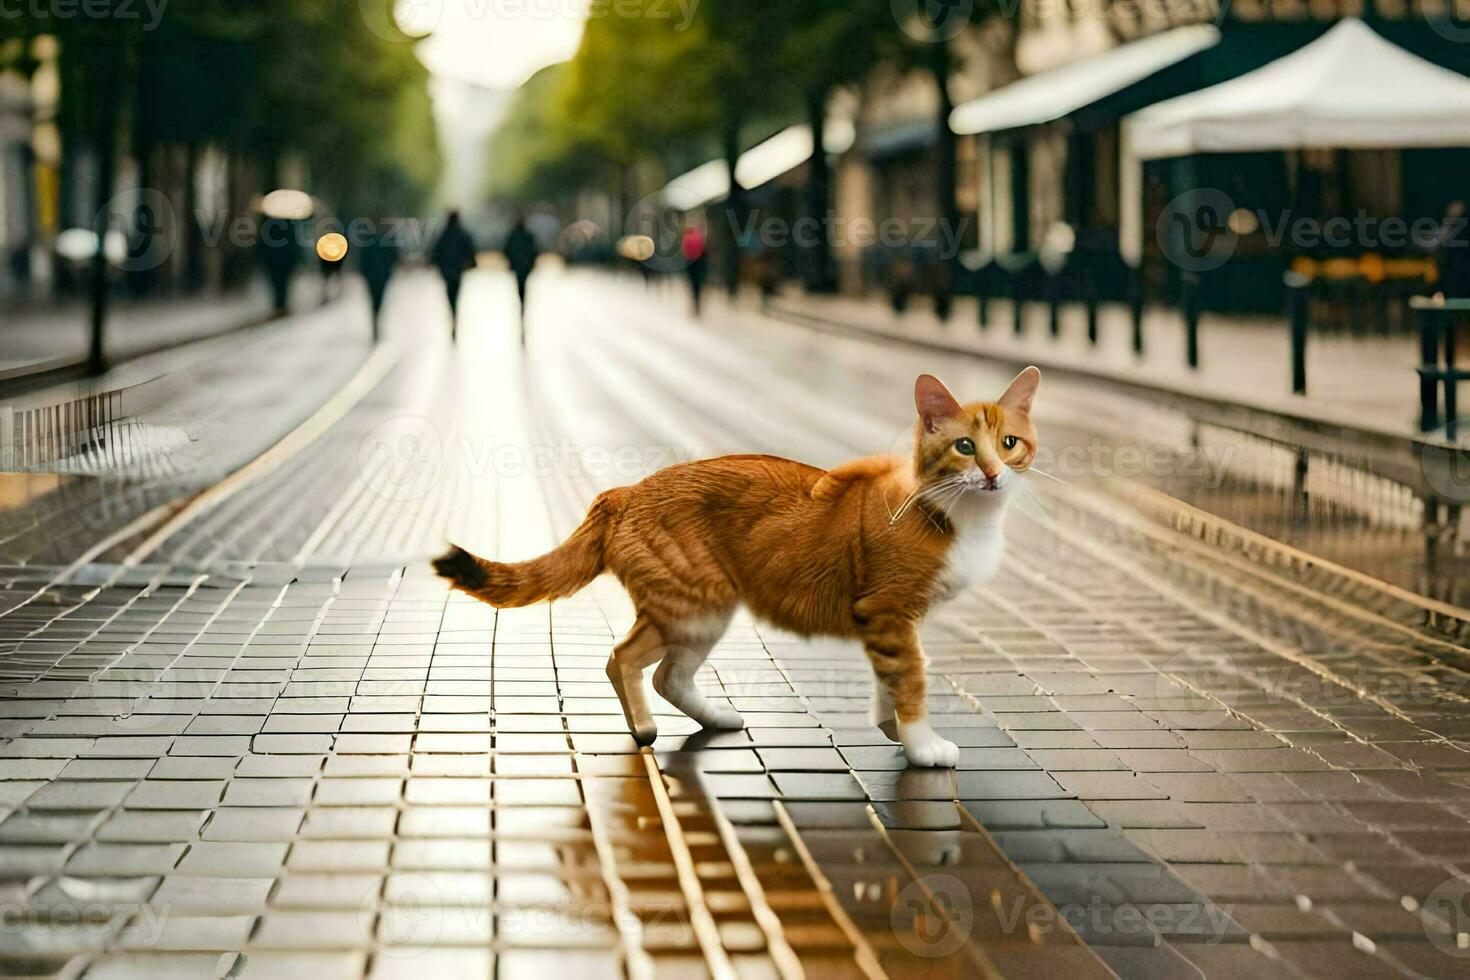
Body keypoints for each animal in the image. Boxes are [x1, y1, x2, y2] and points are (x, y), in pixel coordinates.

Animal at [429, 367, 1040, 764]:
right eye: (965, 447)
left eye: (1010, 443)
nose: (992, 473)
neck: (963, 515)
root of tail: (624, 492)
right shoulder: (889, 610)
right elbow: (911, 678)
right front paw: (921, 744)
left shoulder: (889, 621)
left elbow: (890, 679)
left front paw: (890, 725)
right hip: (694, 603)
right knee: (623, 660)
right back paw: (644, 729)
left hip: (702, 611)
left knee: (668, 675)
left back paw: (719, 719)